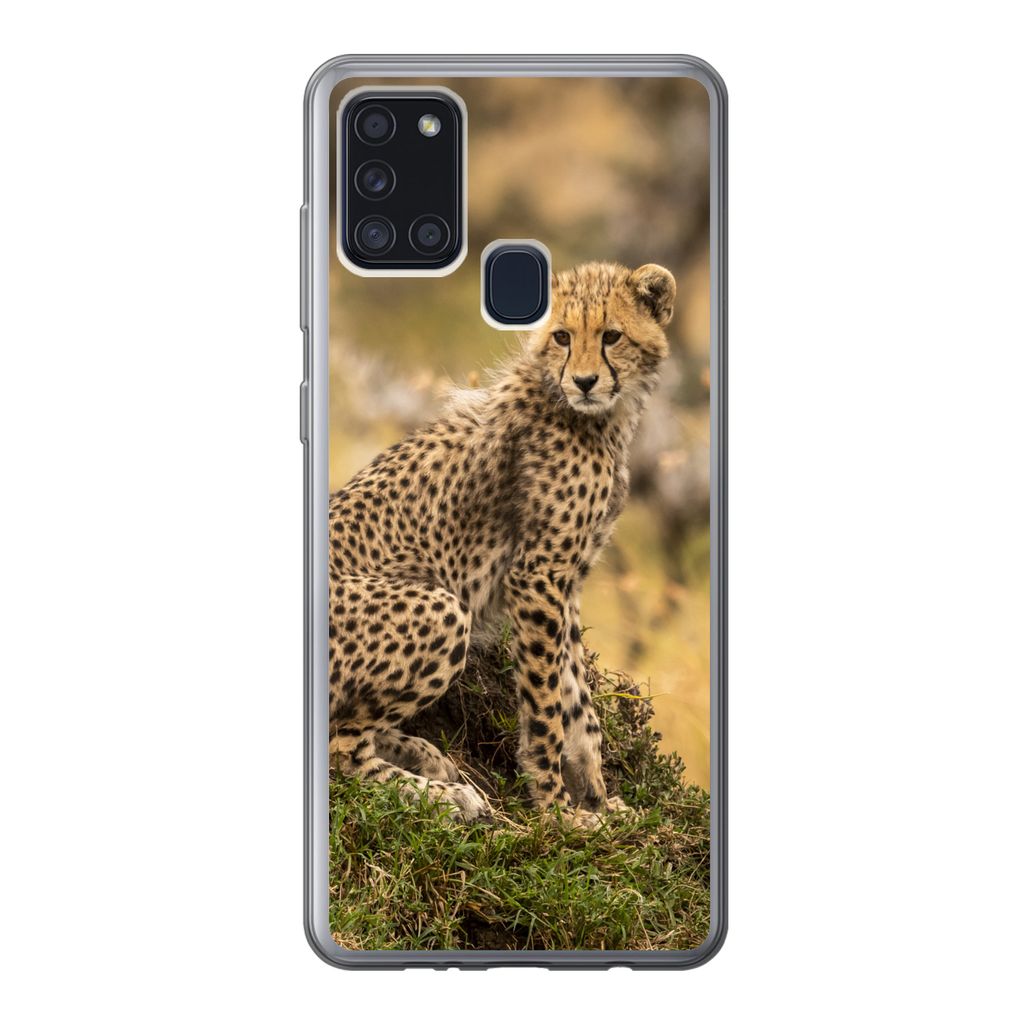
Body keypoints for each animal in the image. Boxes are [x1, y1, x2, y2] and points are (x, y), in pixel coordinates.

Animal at [328, 261, 676, 826]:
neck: (595, 417)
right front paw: (558, 812)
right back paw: (444, 796)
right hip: (441, 608)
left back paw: (424, 756)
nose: (584, 381)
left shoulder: (566, 581)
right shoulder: (536, 577)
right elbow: (546, 704)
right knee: (341, 749)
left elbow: (578, 701)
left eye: (611, 336)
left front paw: (600, 799)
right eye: (561, 337)